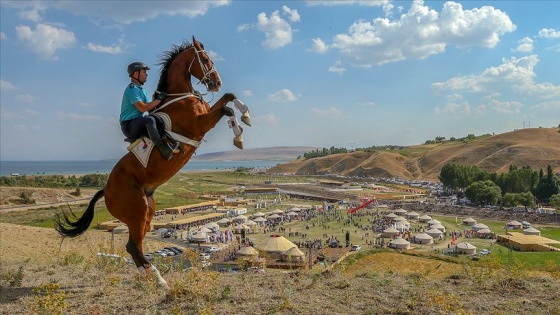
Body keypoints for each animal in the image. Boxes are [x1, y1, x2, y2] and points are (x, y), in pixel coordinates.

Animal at [55, 37, 249, 288]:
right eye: (205, 60)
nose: (216, 82)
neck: (181, 96)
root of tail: (106, 190)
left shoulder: (207, 114)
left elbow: (229, 98)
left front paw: (245, 116)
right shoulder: (199, 124)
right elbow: (225, 108)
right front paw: (238, 135)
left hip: (147, 211)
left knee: (134, 246)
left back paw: (149, 277)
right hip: (136, 212)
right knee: (133, 246)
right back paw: (158, 279)